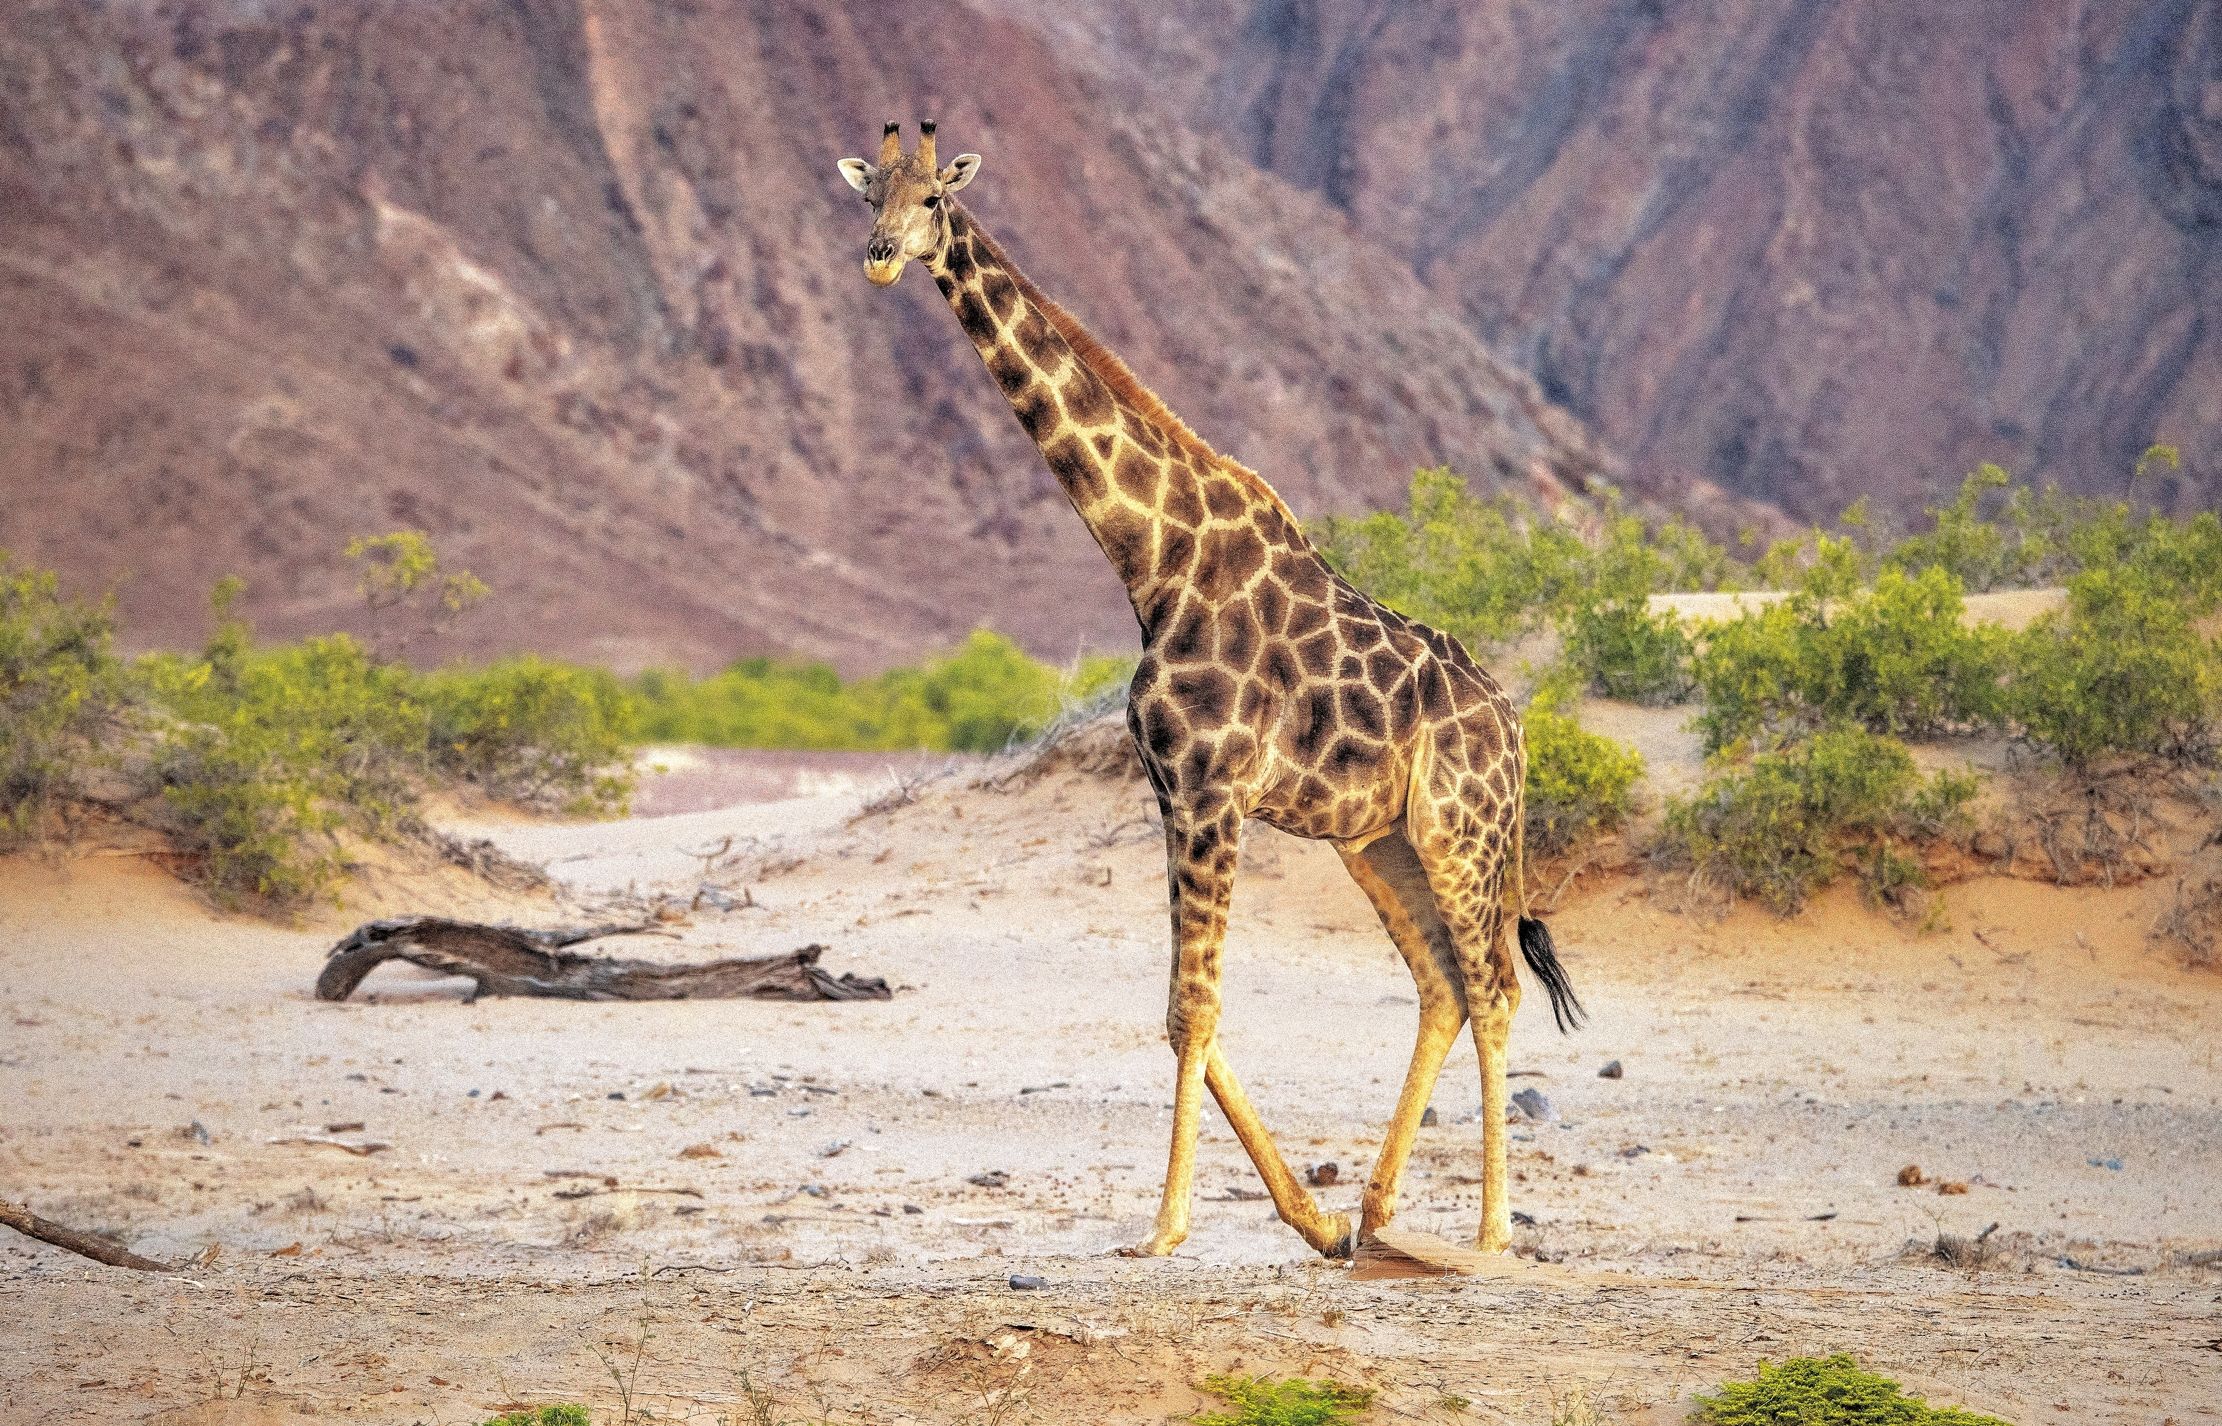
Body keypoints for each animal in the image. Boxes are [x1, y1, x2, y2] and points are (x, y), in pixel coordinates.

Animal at [837, 122, 1584, 1258]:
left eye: (932, 198)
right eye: (868, 191)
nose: (879, 256)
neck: (1152, 560)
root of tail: (1513, 724)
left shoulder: (1209, 790)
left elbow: (1192, 1007)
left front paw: (1165, 1227)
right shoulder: (1172, 792)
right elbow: (1182, 1005)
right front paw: (1312, 1218)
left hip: (1462, 830)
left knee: (1493, 987)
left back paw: (1493, 1231)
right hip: (1379, 840)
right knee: (1442, 984)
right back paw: (1374, 1212)